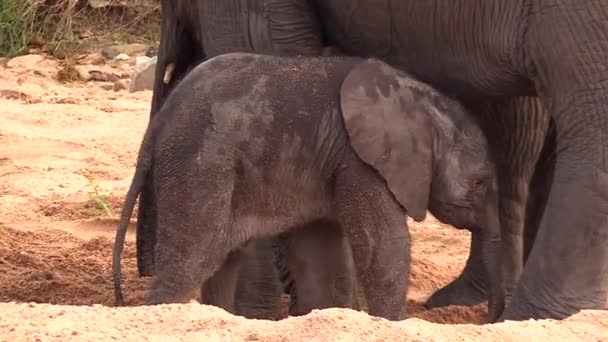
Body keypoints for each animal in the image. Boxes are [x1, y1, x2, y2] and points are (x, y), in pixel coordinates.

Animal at [114, 52, 504, 320]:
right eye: (480, 182)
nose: (490, 318)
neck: (421, 103)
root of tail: (160, 119)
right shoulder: (360, 160)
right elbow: (382, 246)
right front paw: (392, 324)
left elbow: (321, 254)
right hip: (201, 162)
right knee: (194, 258)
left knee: (223, 258)